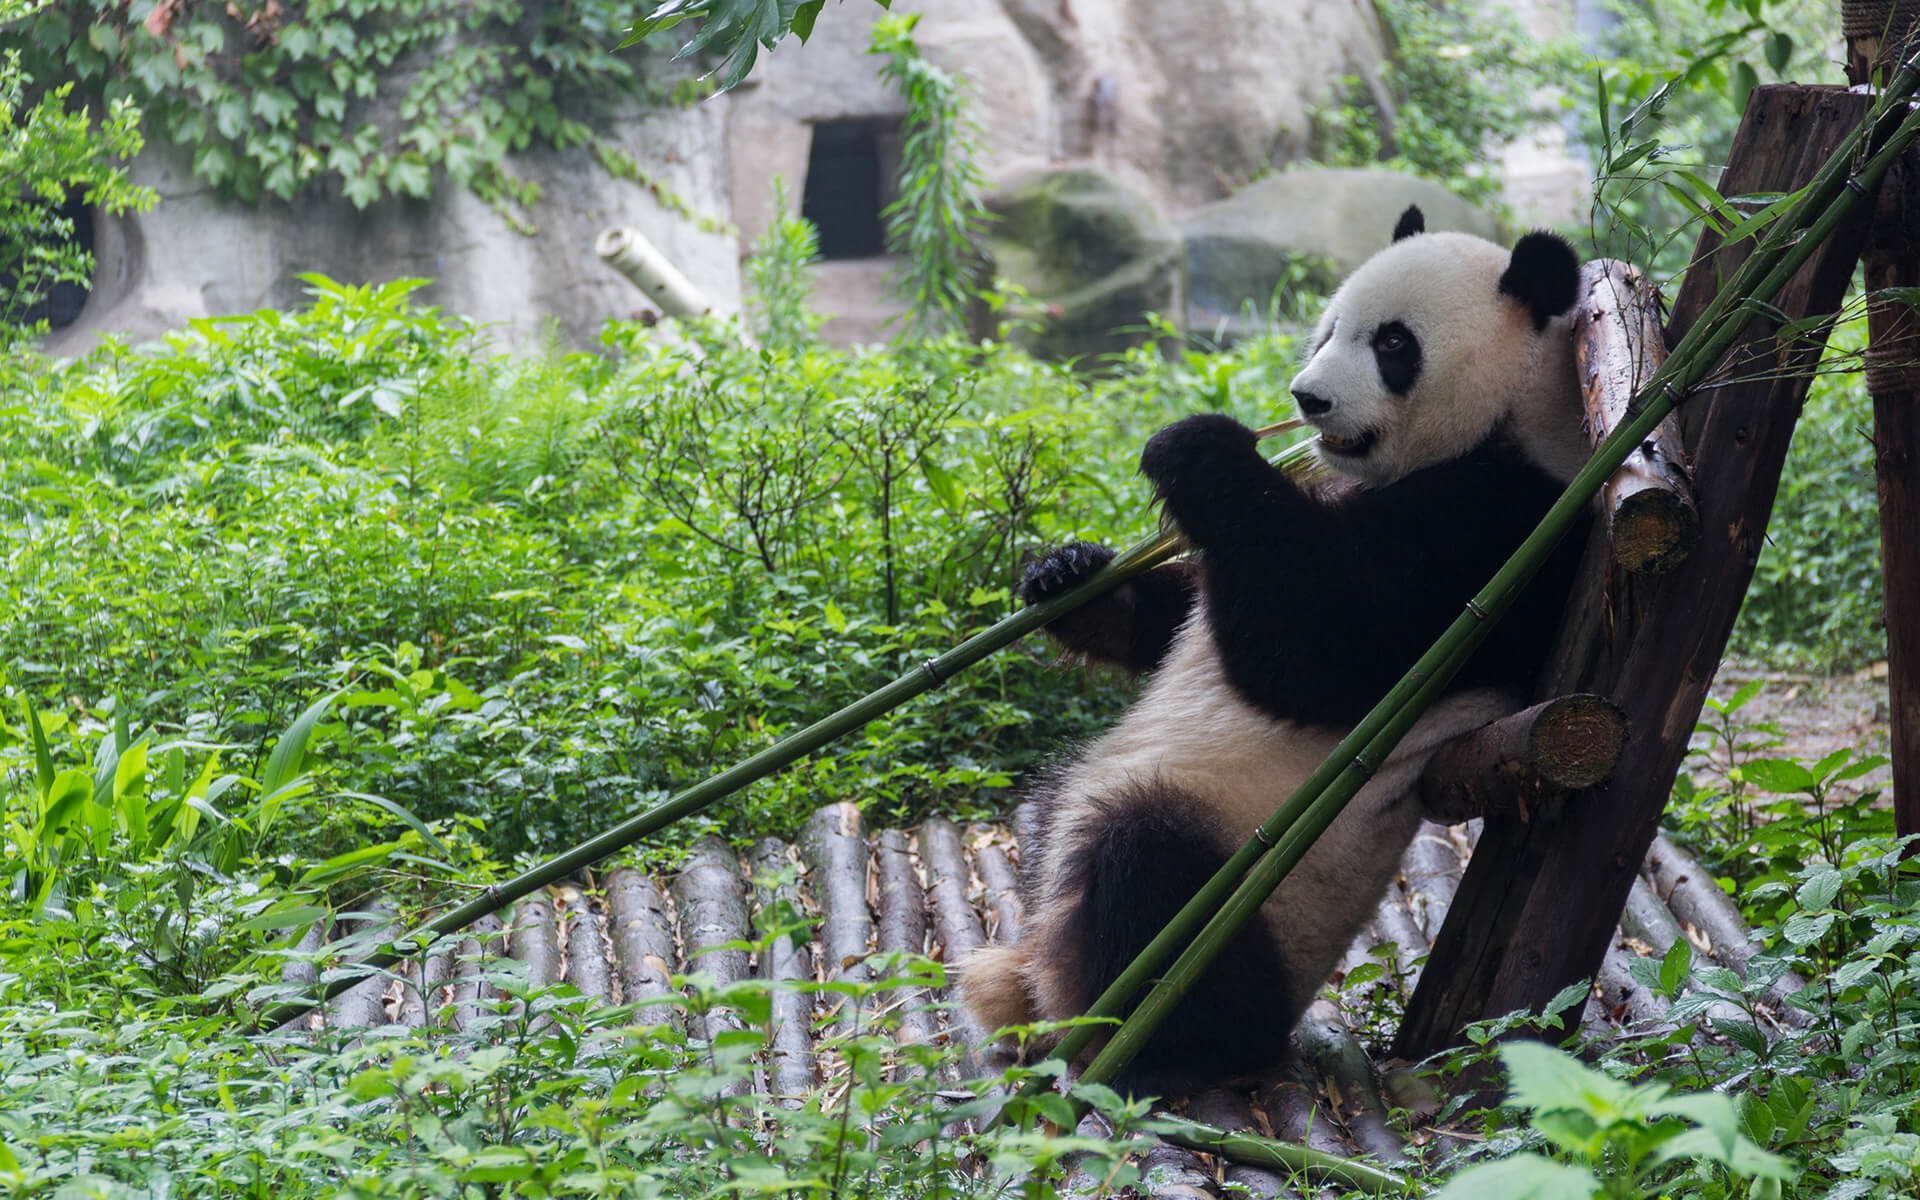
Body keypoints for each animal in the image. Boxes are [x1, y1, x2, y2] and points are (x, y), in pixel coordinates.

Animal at [959, 206, 1594, 1090]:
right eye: (1328, 327)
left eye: (1393, 343)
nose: (1306, 397)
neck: (1518, 415)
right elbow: (1184, 616)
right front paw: (1069, 575)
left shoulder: (1504, 535)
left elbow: (1310, 646)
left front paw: (1198, 447)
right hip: (1078, 809)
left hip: (1247, 891)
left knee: (1148, 867)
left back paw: (1150, 1039)